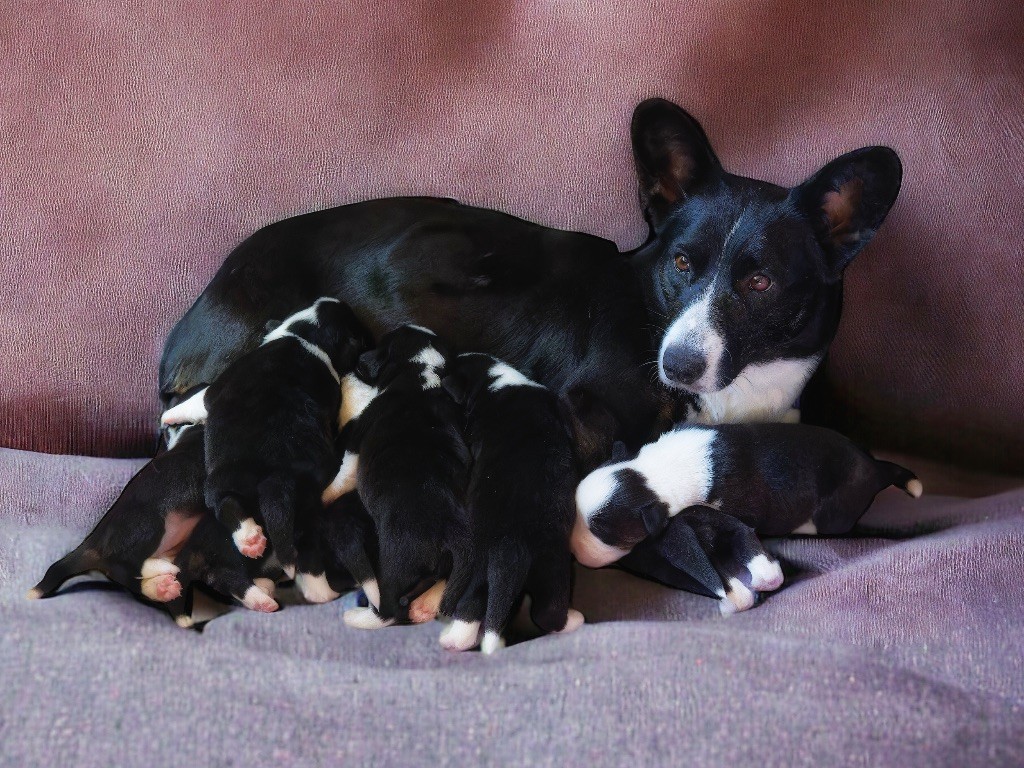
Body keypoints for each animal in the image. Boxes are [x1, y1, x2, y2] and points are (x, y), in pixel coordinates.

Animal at [157, 299, 370, 577]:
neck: (305, 333)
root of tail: (275, 479)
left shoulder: (214, 390)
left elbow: (193, 403)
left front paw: (168, 417)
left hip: (220, 480)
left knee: (224, 503)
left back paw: (249, 539)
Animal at [436, 354, 585, 655]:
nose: (439, 371)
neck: (490, 380)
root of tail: (511, 548)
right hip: (545, 564)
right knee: (543, 611)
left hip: (513, 566)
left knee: (478, 607)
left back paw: (455, 640)